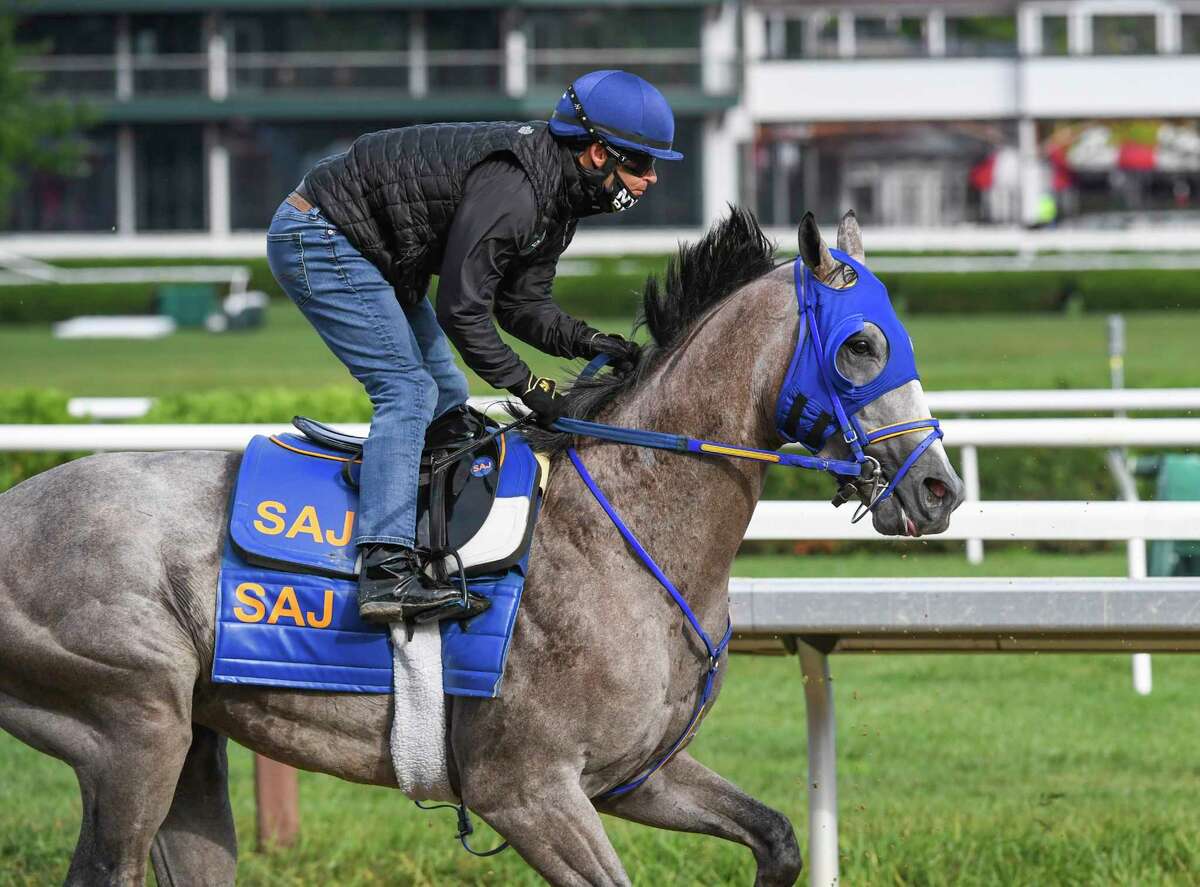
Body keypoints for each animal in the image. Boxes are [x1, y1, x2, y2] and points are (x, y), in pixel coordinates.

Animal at [0, 210, 960, 887]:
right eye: (862, 343)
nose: (939, 488)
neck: (622, 534)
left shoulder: (633, 773)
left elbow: (780, 838)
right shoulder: (527, 787)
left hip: (191, 741)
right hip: (134, 723)